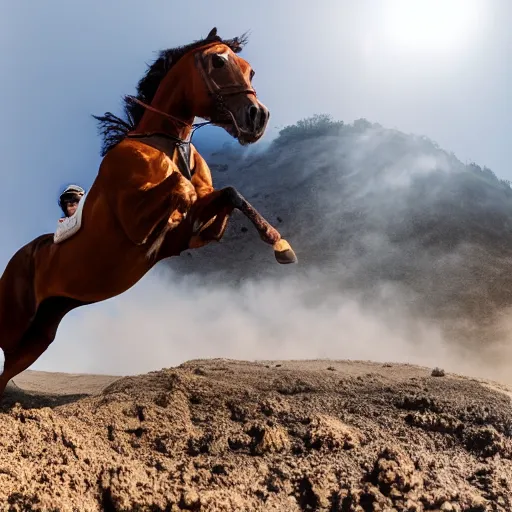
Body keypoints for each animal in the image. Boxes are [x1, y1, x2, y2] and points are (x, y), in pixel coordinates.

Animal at [0, 27, 296, 396]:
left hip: (40, 331)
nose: (257, 118)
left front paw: (281, 245)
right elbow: (182, 189)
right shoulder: (134, 226)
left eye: (250, 70)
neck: (166, 142)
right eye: (218, 61)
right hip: (15, 324)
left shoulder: (190, 235)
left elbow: (229, 195)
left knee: (7, 371)